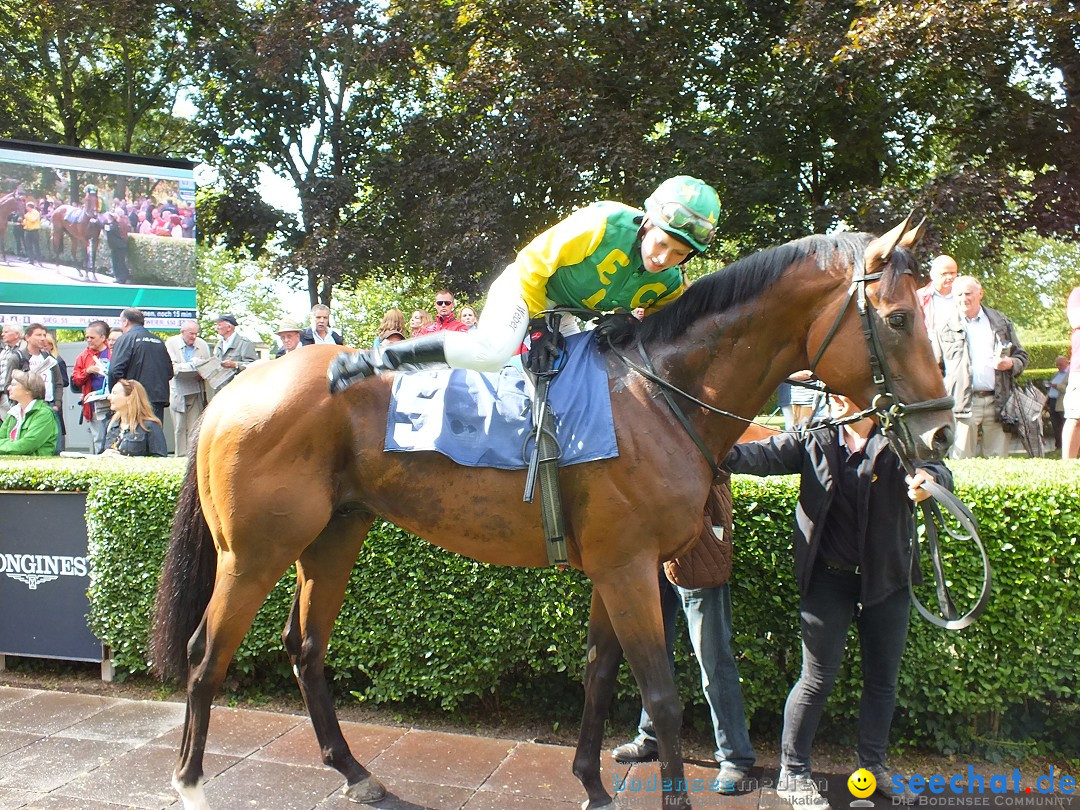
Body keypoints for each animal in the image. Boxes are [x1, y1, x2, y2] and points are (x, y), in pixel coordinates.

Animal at [154, 217, 954, 810]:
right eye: (897, 317)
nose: (943, 432)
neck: (661, 394)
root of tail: (234, 389)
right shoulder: (630, 568)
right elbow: (662, 696)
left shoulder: (620, 567)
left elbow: (600, 673)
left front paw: (593, 785)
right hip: (254, 552)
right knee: (204, 653)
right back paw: (190, 783)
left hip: (334, 535)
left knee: (306, 648)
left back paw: (357, 774)